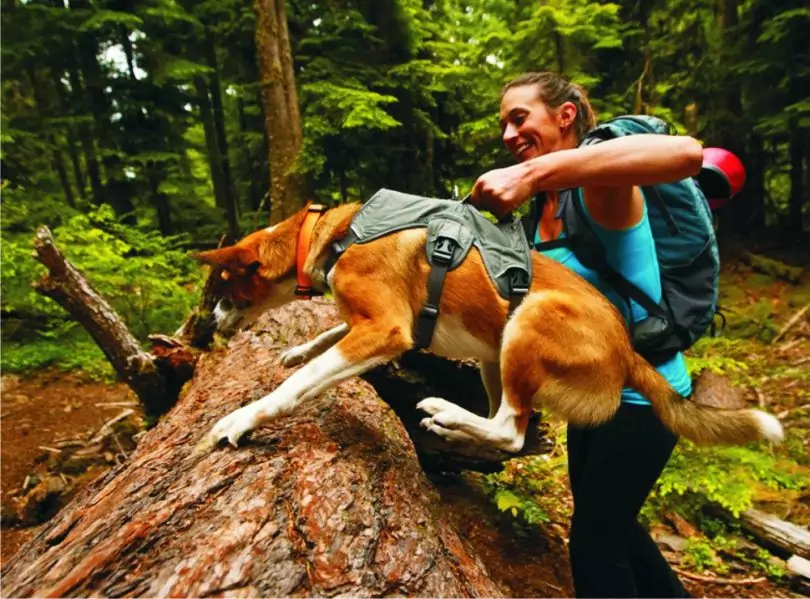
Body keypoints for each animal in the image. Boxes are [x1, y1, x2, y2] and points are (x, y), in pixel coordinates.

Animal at [193, 204, 780, 452]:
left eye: (219, 285)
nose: (208, 328)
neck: (331, 233)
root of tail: (627, 349)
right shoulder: (384, 326)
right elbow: (325, 341)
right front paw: (296, 350)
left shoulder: (387, 328)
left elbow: (298, 384)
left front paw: (240, 420)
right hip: (492, 356)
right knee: (506, 430)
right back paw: (454, 425)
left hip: (528, 320)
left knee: (511, 430)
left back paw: (446, 412)